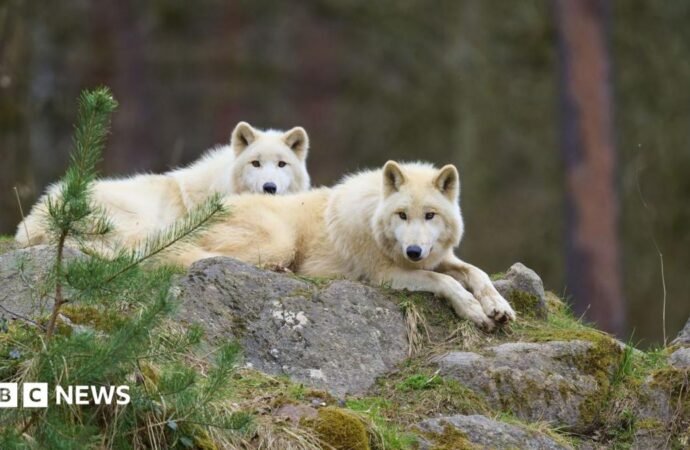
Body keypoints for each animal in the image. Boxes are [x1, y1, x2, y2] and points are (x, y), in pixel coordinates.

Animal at [170, 161, 516, 330]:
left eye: (430, 215)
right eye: (402, 215)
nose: (413, 252)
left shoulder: (436, 258)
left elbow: (476, 273)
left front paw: (498, 306)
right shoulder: (384, 275)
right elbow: (444, 281)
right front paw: (473, 310)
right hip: (278, 242)